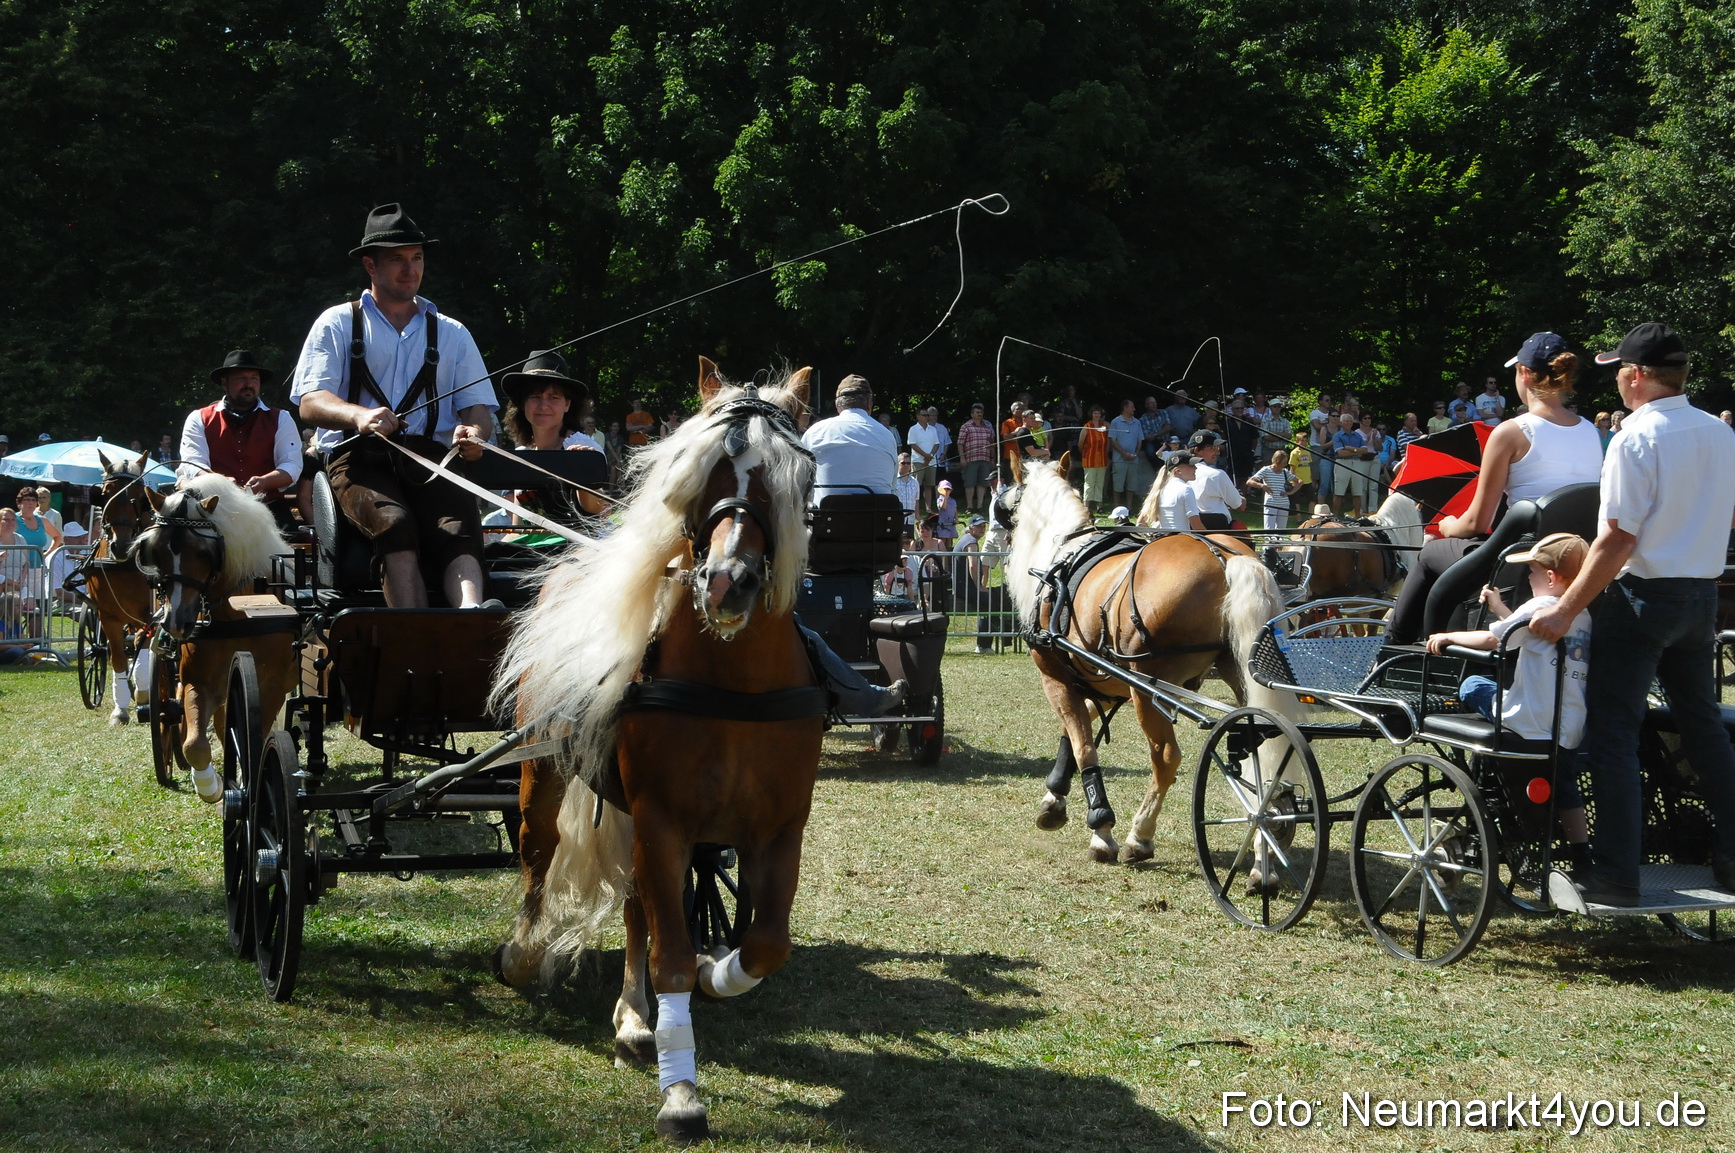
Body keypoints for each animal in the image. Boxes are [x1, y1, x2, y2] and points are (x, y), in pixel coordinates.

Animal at [131, 472, 296, 801]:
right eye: (157, 551)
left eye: (203, 552)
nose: (177, 621)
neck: (240, 615)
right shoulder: (200, 681)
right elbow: (195, 743)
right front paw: (211, 785)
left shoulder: (271, 686)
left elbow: (255, 741)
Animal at [491, 358, 824, 1142]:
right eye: (698, 473)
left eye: (795, 474)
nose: (728, 581)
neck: (735, 684)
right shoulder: (662, 819)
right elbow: (670, 955)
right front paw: (682, 1093)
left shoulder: (777, 829)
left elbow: (766, 941)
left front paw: (715, 973)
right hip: (546, 774)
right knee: (537, 853)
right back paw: (524, 953)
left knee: (640, 905)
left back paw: (636, 1018)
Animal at [1000, 458, 1298, 863]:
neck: (1064, 552)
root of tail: (1228, 559)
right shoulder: (1104, 683)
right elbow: (1075, 732)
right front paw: (1054, 798)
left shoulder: (1056, 674)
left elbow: (1082, 743)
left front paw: (1101, 827)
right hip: (1238, 675)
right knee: (1265, 744)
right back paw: (1266, 838)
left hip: (1150, 690)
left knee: (1166, 758)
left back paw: (1139, 836)